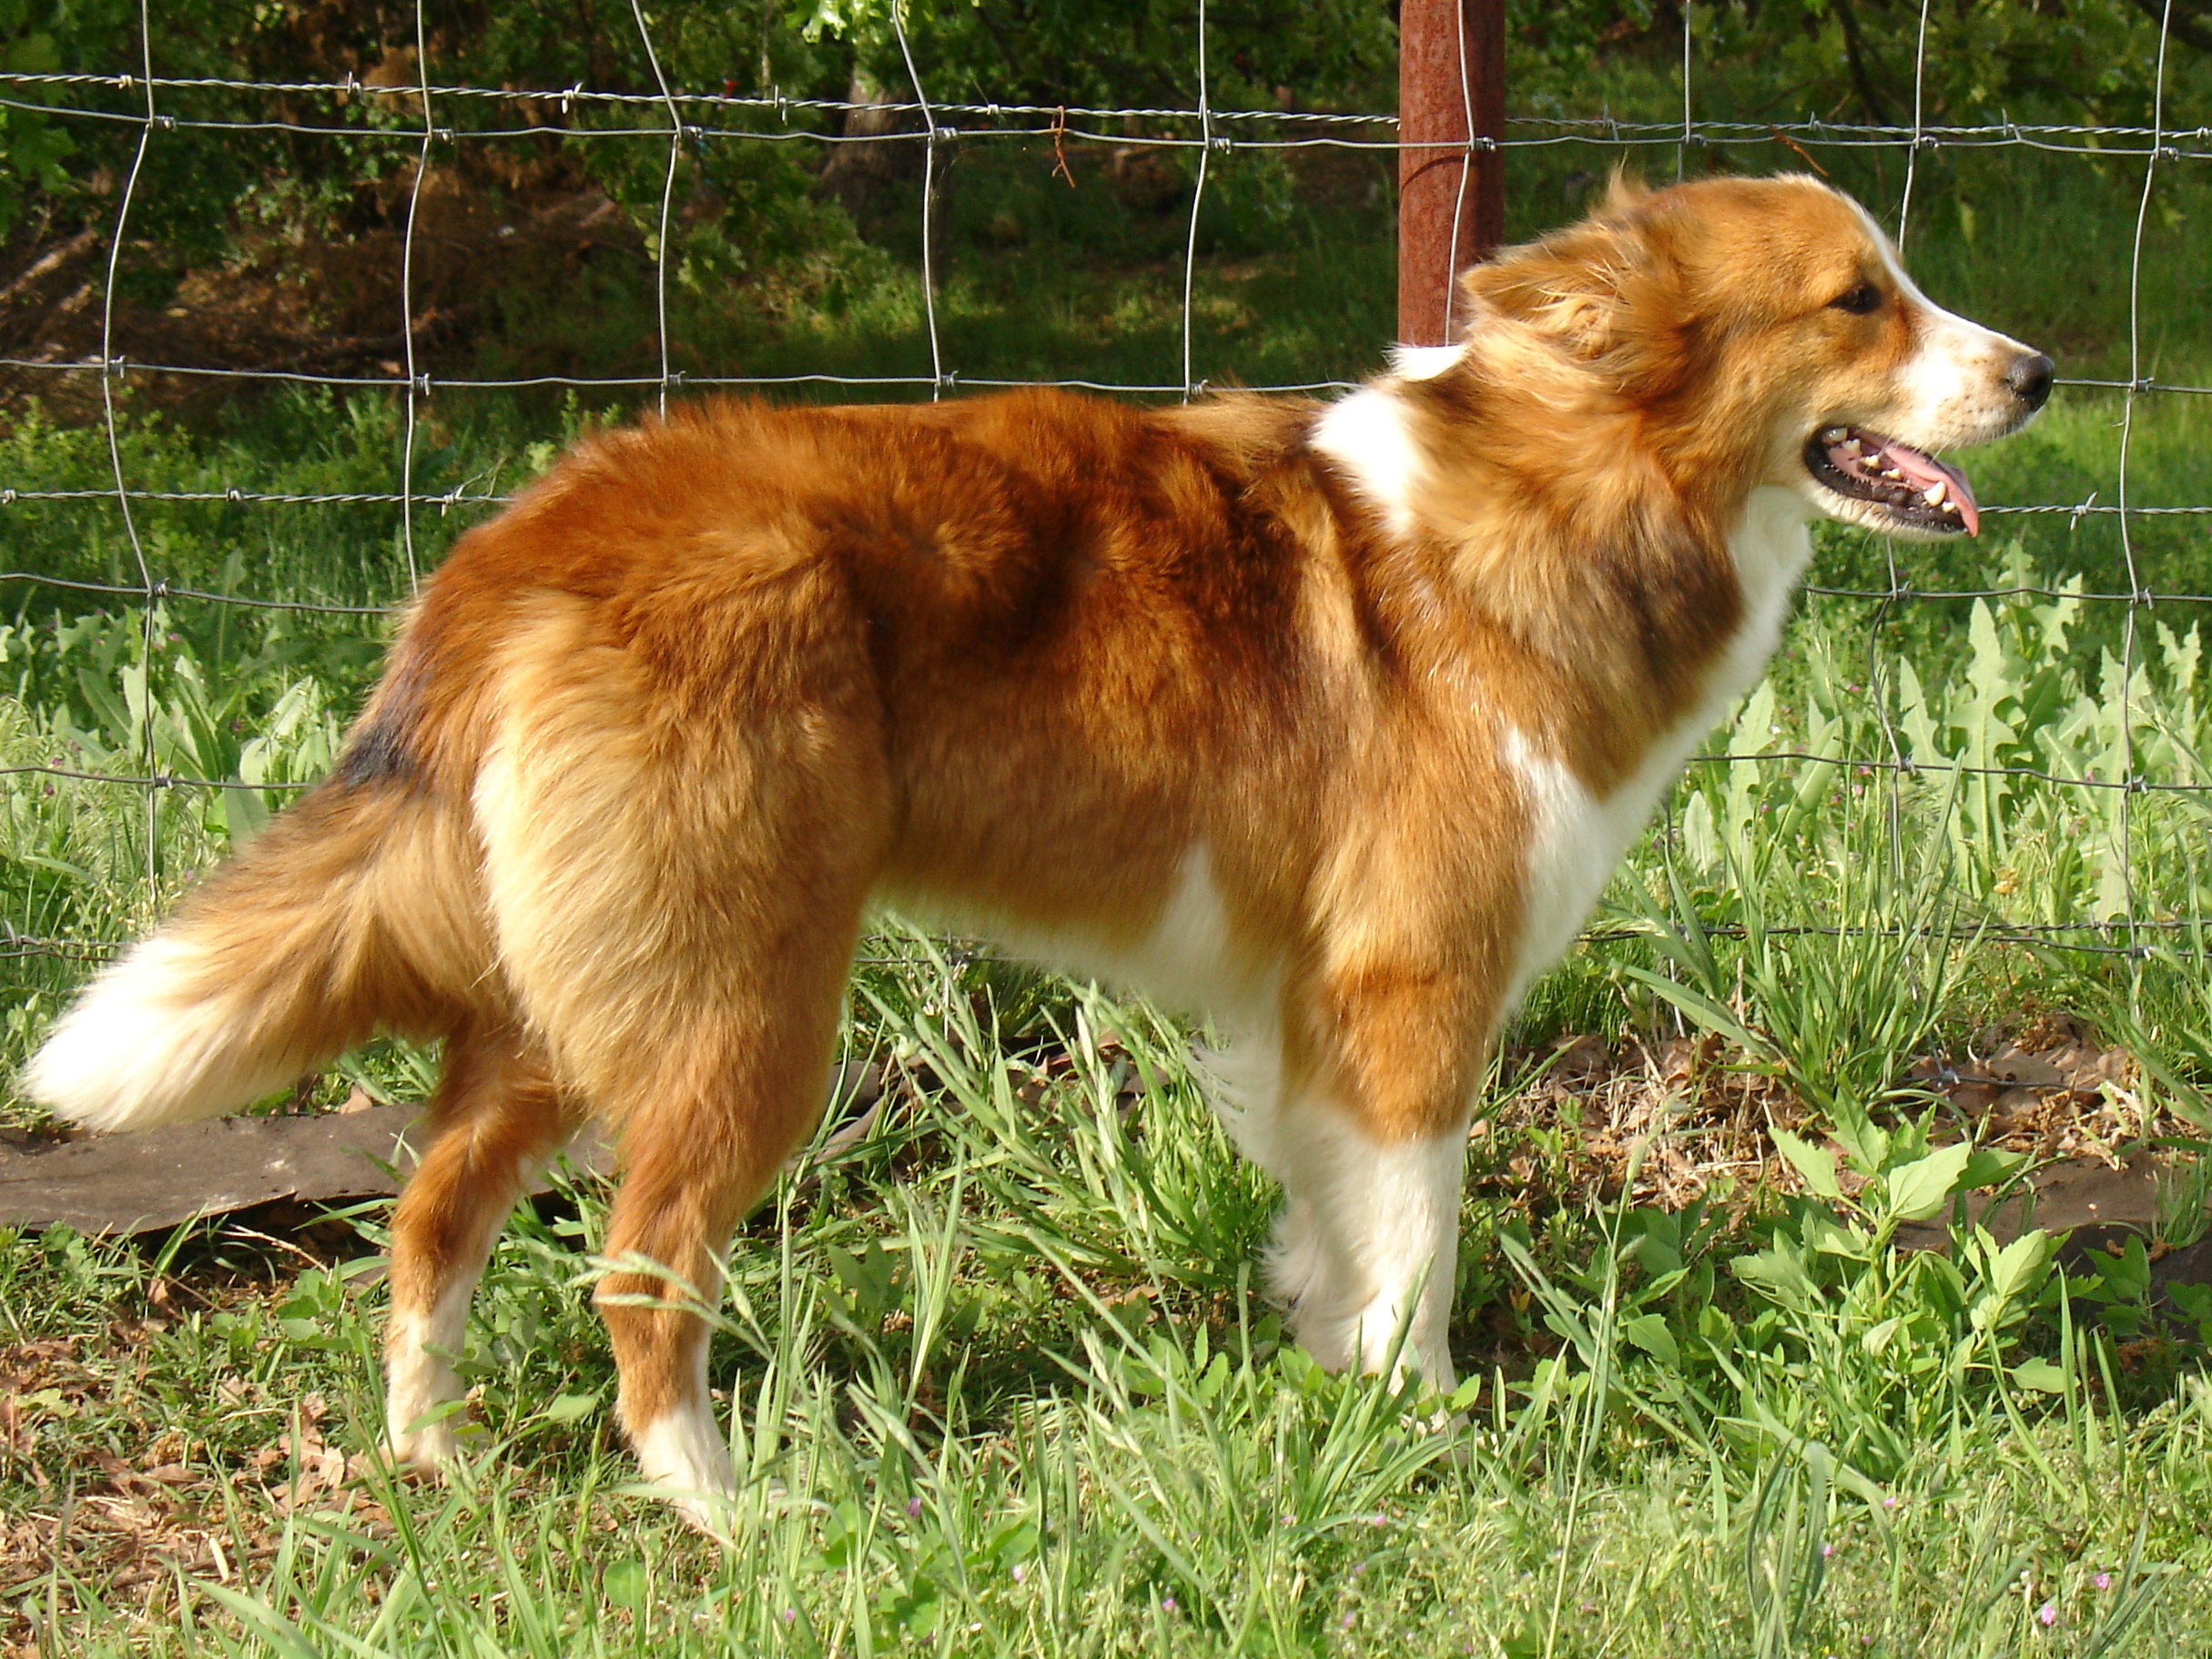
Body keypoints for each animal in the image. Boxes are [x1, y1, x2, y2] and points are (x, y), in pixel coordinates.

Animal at [25, 176, 2044, 1531]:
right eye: (1858, 301)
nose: (2037, 371)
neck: (1568, 486)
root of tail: (539, 533)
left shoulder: (1312, 1009)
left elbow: (1336, 1230)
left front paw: (1328, 1384)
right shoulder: (1414, 994)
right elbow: (1418, 1247)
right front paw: (1423, 1435)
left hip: (573, 996)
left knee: (434, 1211)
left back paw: (431, 1451)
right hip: (748, 1011)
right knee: (634, 1262)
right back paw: (721, 1506)